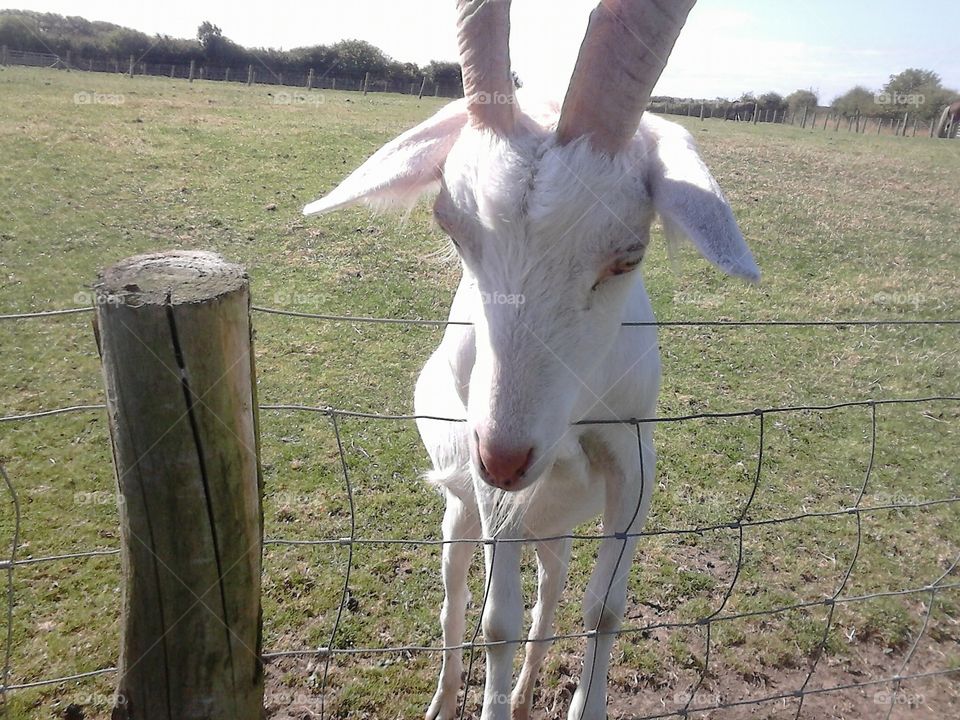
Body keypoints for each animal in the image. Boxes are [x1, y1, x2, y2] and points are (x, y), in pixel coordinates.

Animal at [304, 1, 759, 718]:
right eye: (449, 224)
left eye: (628, 254)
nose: (506, 455)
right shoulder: (491, 491)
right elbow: (497, 623)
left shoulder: (632, 458)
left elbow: (604, 609)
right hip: (461, 513)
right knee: (456, 597)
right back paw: (445, 700)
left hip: (556, 527)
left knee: (554, 587)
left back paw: (522, 696)